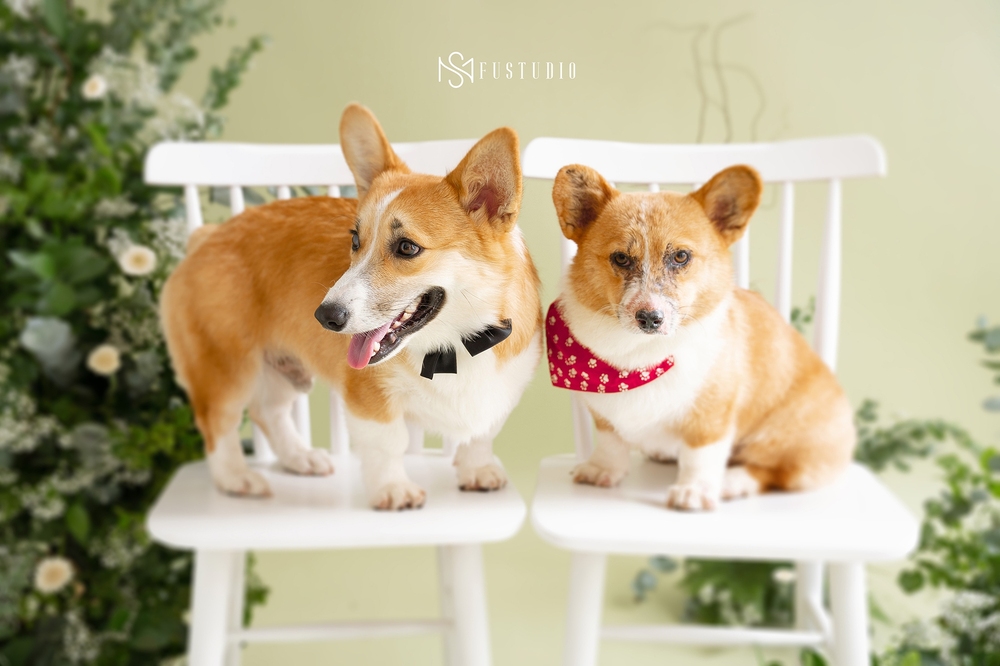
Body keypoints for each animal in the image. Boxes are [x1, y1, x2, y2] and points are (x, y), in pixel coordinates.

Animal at [162, 105, 548, 508]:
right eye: (355, 240)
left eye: (407, 247)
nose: (324, 316)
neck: (452, 346)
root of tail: (207, 237)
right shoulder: (369, 397)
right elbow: (389, 443)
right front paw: (393, 490)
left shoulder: (498, 392)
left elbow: (481, 434)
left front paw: (477, 470)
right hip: (227, 369)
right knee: (217, 422)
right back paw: (237, 478)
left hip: (282, 366)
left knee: (269, 411)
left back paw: (299, 458)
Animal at [552, 163, 856, 510]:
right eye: (620, 258)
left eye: (681, 257)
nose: (650, 319)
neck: (641, 356)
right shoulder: (604, 414)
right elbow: (610, 442)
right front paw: (603, 470)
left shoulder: (711, 417)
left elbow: (700, 455)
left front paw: (693, 490)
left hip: (784, 434)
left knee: (775, 471)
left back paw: (732, 482)